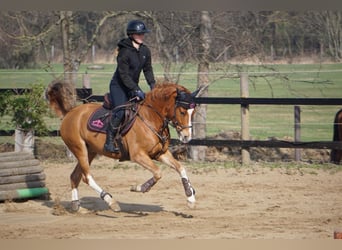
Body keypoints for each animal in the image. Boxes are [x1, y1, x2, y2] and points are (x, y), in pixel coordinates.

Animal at [46, 81, 199, 211]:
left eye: (193, 113)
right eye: (182, 112)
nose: (187, 137)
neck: (151, 117)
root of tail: (69, 113)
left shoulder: (160, 154)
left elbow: (180, 168)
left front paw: (190, 198)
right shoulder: (138, 155)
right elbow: (158, 173)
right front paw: (139, 188)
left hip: (90, 151)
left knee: (75, 176)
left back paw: (75, 205)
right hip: (80, 149)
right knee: (86, 177)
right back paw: (110, 201)